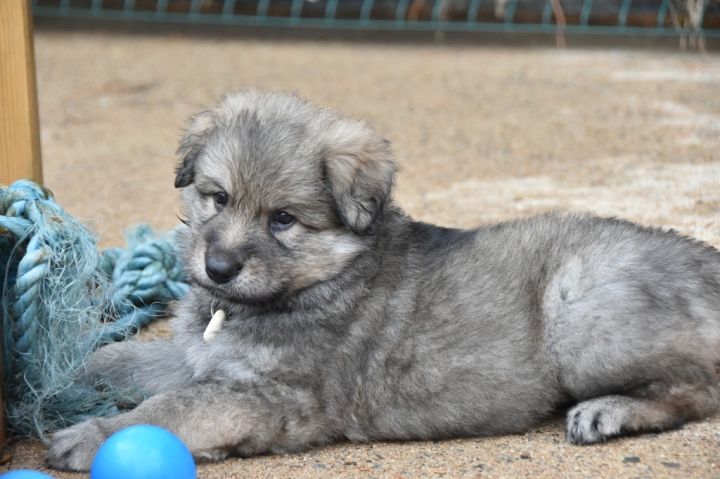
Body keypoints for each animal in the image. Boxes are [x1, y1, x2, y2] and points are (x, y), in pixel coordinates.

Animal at [48, 91, 720, 471]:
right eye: (217, 198)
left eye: (283, 219)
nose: (218, 269)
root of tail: (704, 257)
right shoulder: (197, 358)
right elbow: (126, 362)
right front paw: (59, 374)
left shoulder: (271, 396)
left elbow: (170, 408)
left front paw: (93, 435)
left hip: (581, 317)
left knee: (697, 388)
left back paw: (609, 411)